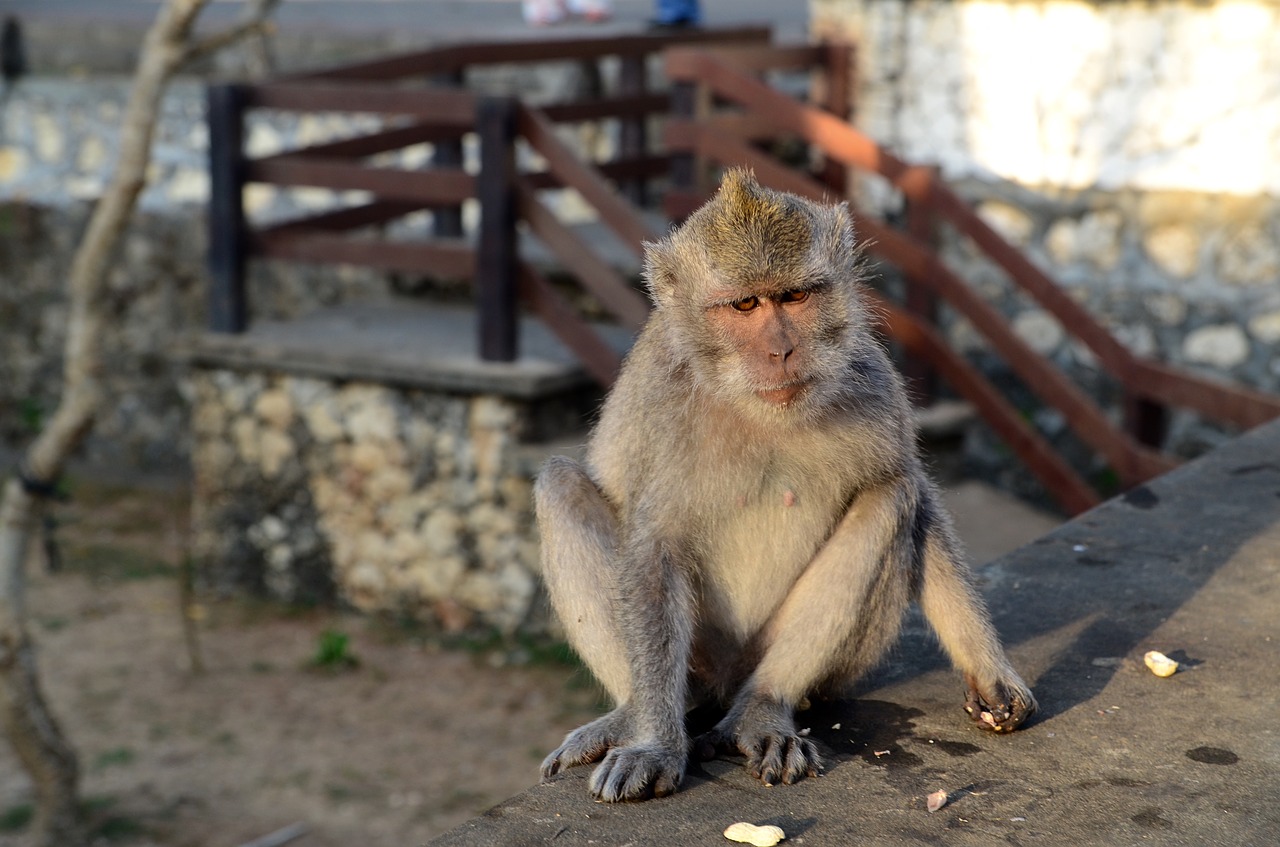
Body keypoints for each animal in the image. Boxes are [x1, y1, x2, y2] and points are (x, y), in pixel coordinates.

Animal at [535, 171, 1034, 803]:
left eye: (795, 296)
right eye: (745, 304)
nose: (781, 350)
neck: (757, 409)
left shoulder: (875, 388)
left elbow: (912, 492)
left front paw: (988, 667)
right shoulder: (663, 407)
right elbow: (654, 550)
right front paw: (653, 742)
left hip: (824, 665)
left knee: (890, 498)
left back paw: (763, 710)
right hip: (699, 661)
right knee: (559, 485)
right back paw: (630, 714)